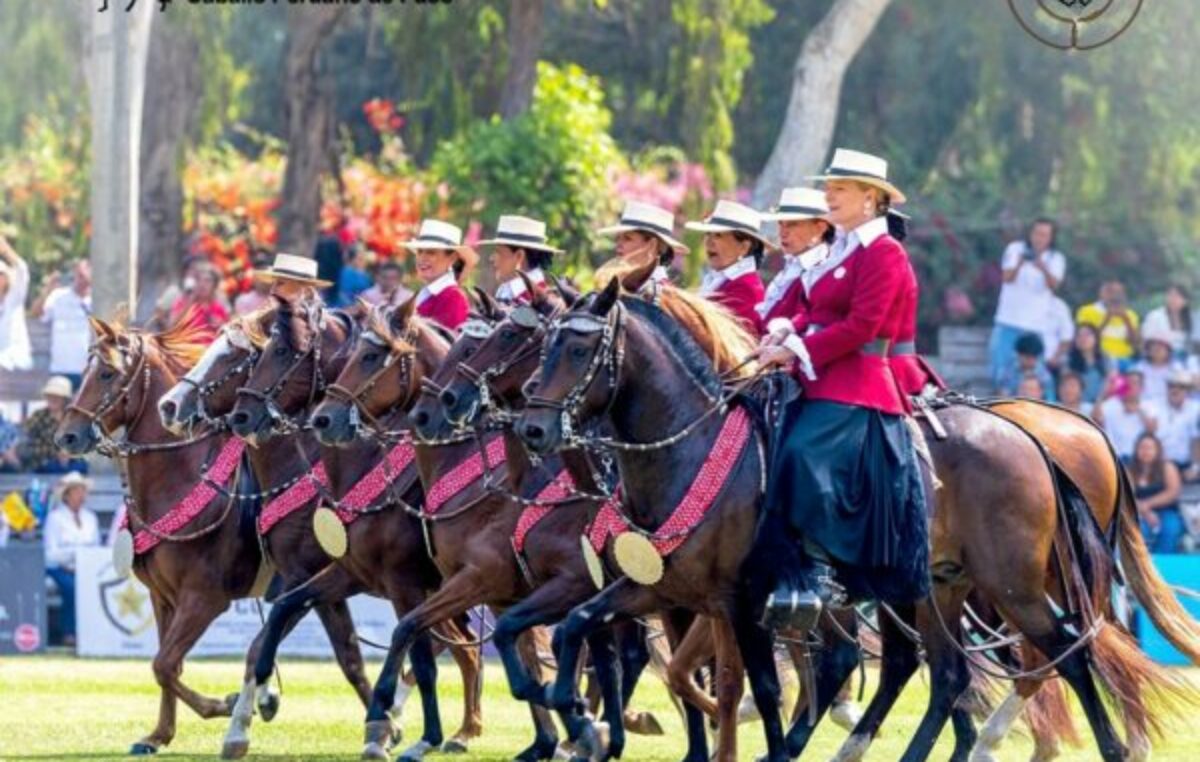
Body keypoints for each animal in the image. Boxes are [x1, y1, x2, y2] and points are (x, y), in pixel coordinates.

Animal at [53, 316, 262, 758]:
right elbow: (167, 665)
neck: (184, 476)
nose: (67, 436)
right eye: (84, 371)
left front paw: (227, 703)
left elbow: (163, 665)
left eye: (107, 373)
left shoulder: (204, 598)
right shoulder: (163, 597)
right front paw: (158, 735)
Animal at [518, 278, 1200, 762]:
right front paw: (576, 716)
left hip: (1013, 586)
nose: (532, 428)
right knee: (949, 672)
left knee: (1069, 654)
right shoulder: (660, 586)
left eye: (577, 347)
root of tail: (1034, 439)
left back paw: (1110, 747)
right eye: (542, 344)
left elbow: (763, 687)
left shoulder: (742, 600)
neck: (692, 447)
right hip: (941, 586)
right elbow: (574, 627)